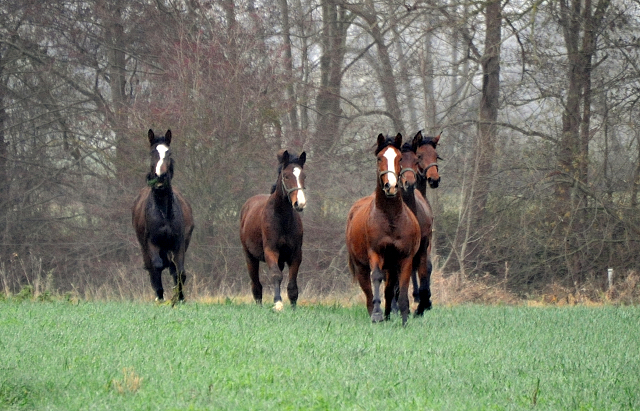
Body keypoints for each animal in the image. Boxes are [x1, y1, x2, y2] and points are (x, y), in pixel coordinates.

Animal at [131, 130, 194, 306]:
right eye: (152, 152)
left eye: (169, 153)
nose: (160, 178)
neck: (164, 212)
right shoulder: (151, 242)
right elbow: (157, 266)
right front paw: (160, 296)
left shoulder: (179, 243)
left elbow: (179, 271)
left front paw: (180, 298)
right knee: (153, 267)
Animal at [241, 150, 308, 310]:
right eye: (286, 176)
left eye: (303, 176)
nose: (300, 203)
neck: (281, 218)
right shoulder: (270, 250)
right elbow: (276, 275)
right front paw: (277, 303)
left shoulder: (296, 253)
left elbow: (292, 283)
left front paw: (293, 307)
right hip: (250, 257)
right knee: (256, 284)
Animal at [348, 134, 422, 326]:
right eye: (379, 158)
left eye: (399, 158)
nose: (391, 186)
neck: (391, 218)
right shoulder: (375, 253)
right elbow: (376, 277)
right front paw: (377, 314)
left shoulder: (404, 259)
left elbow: (401, 288)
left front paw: (404, 319)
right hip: (360, 266)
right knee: (367, 289)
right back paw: (376, 313)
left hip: (392, 266)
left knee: (389, 289)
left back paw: (389, 315)